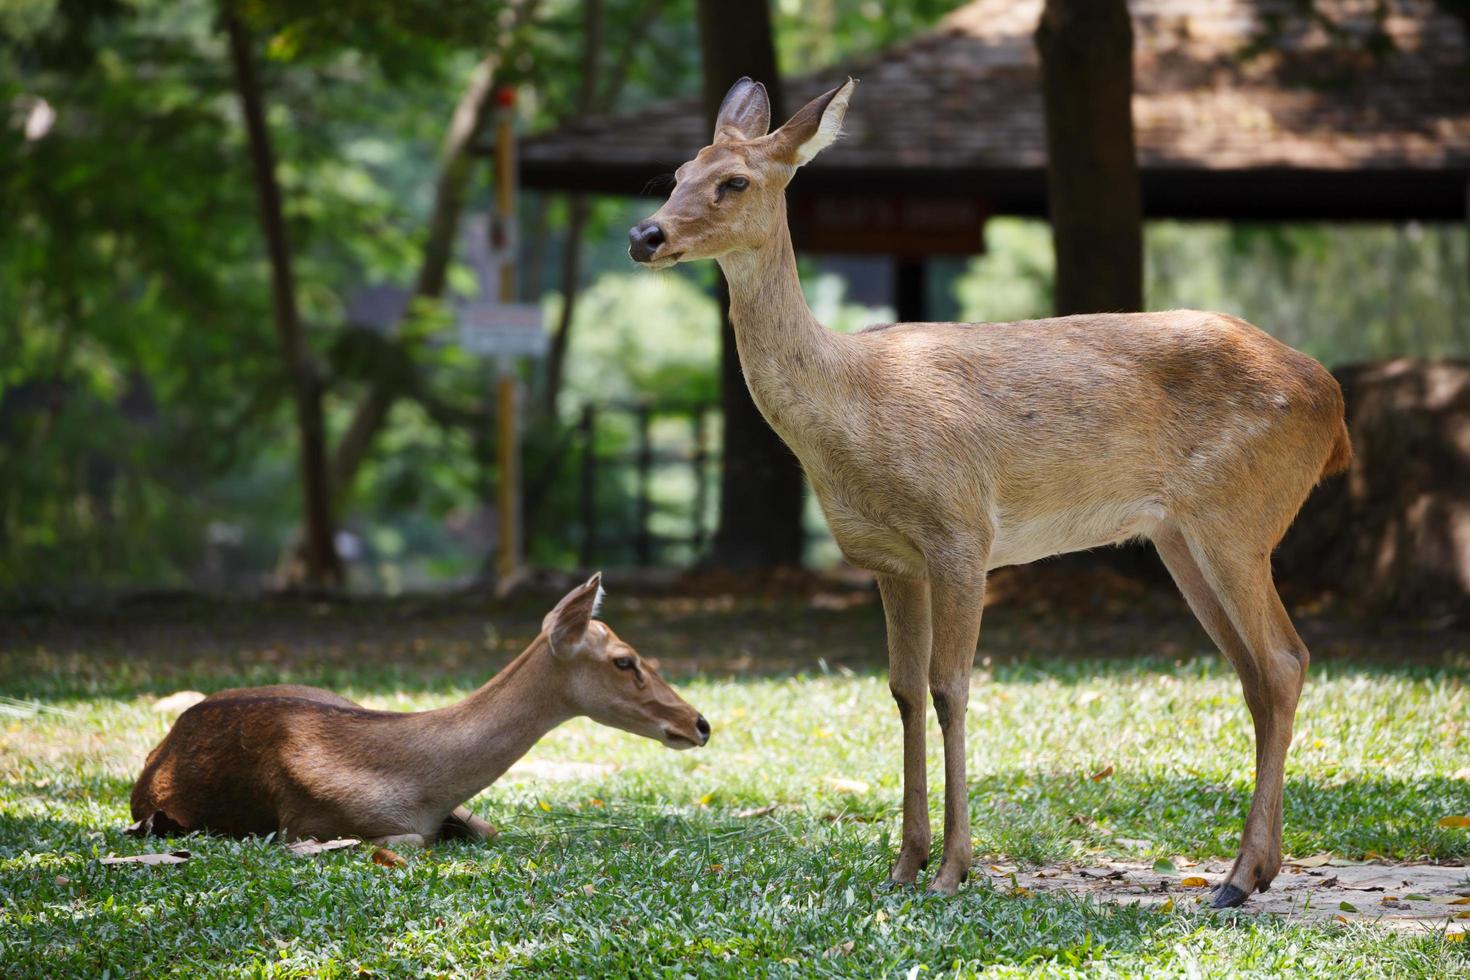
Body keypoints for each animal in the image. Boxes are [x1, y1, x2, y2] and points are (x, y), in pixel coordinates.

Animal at [123, 578, 708, 846]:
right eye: (625, 660)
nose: (700, 723)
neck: (418, 786)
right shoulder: (306, 825)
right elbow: (414, 841)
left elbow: (488, 828)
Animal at [626, 78, 1346, 910]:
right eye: (678, 171)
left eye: (734, 182)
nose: (644, 235)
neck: (851, 403)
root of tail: (1334, 401)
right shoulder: (890, 560)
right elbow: (903, 691)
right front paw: (902, 864)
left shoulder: (961, 531)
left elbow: (950, 688)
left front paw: (953, 869)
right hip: (1181, 535)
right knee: (1257, 671)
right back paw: (1258, 870)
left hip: (1239, 514)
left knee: (1284, 659)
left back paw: (1231, 880)